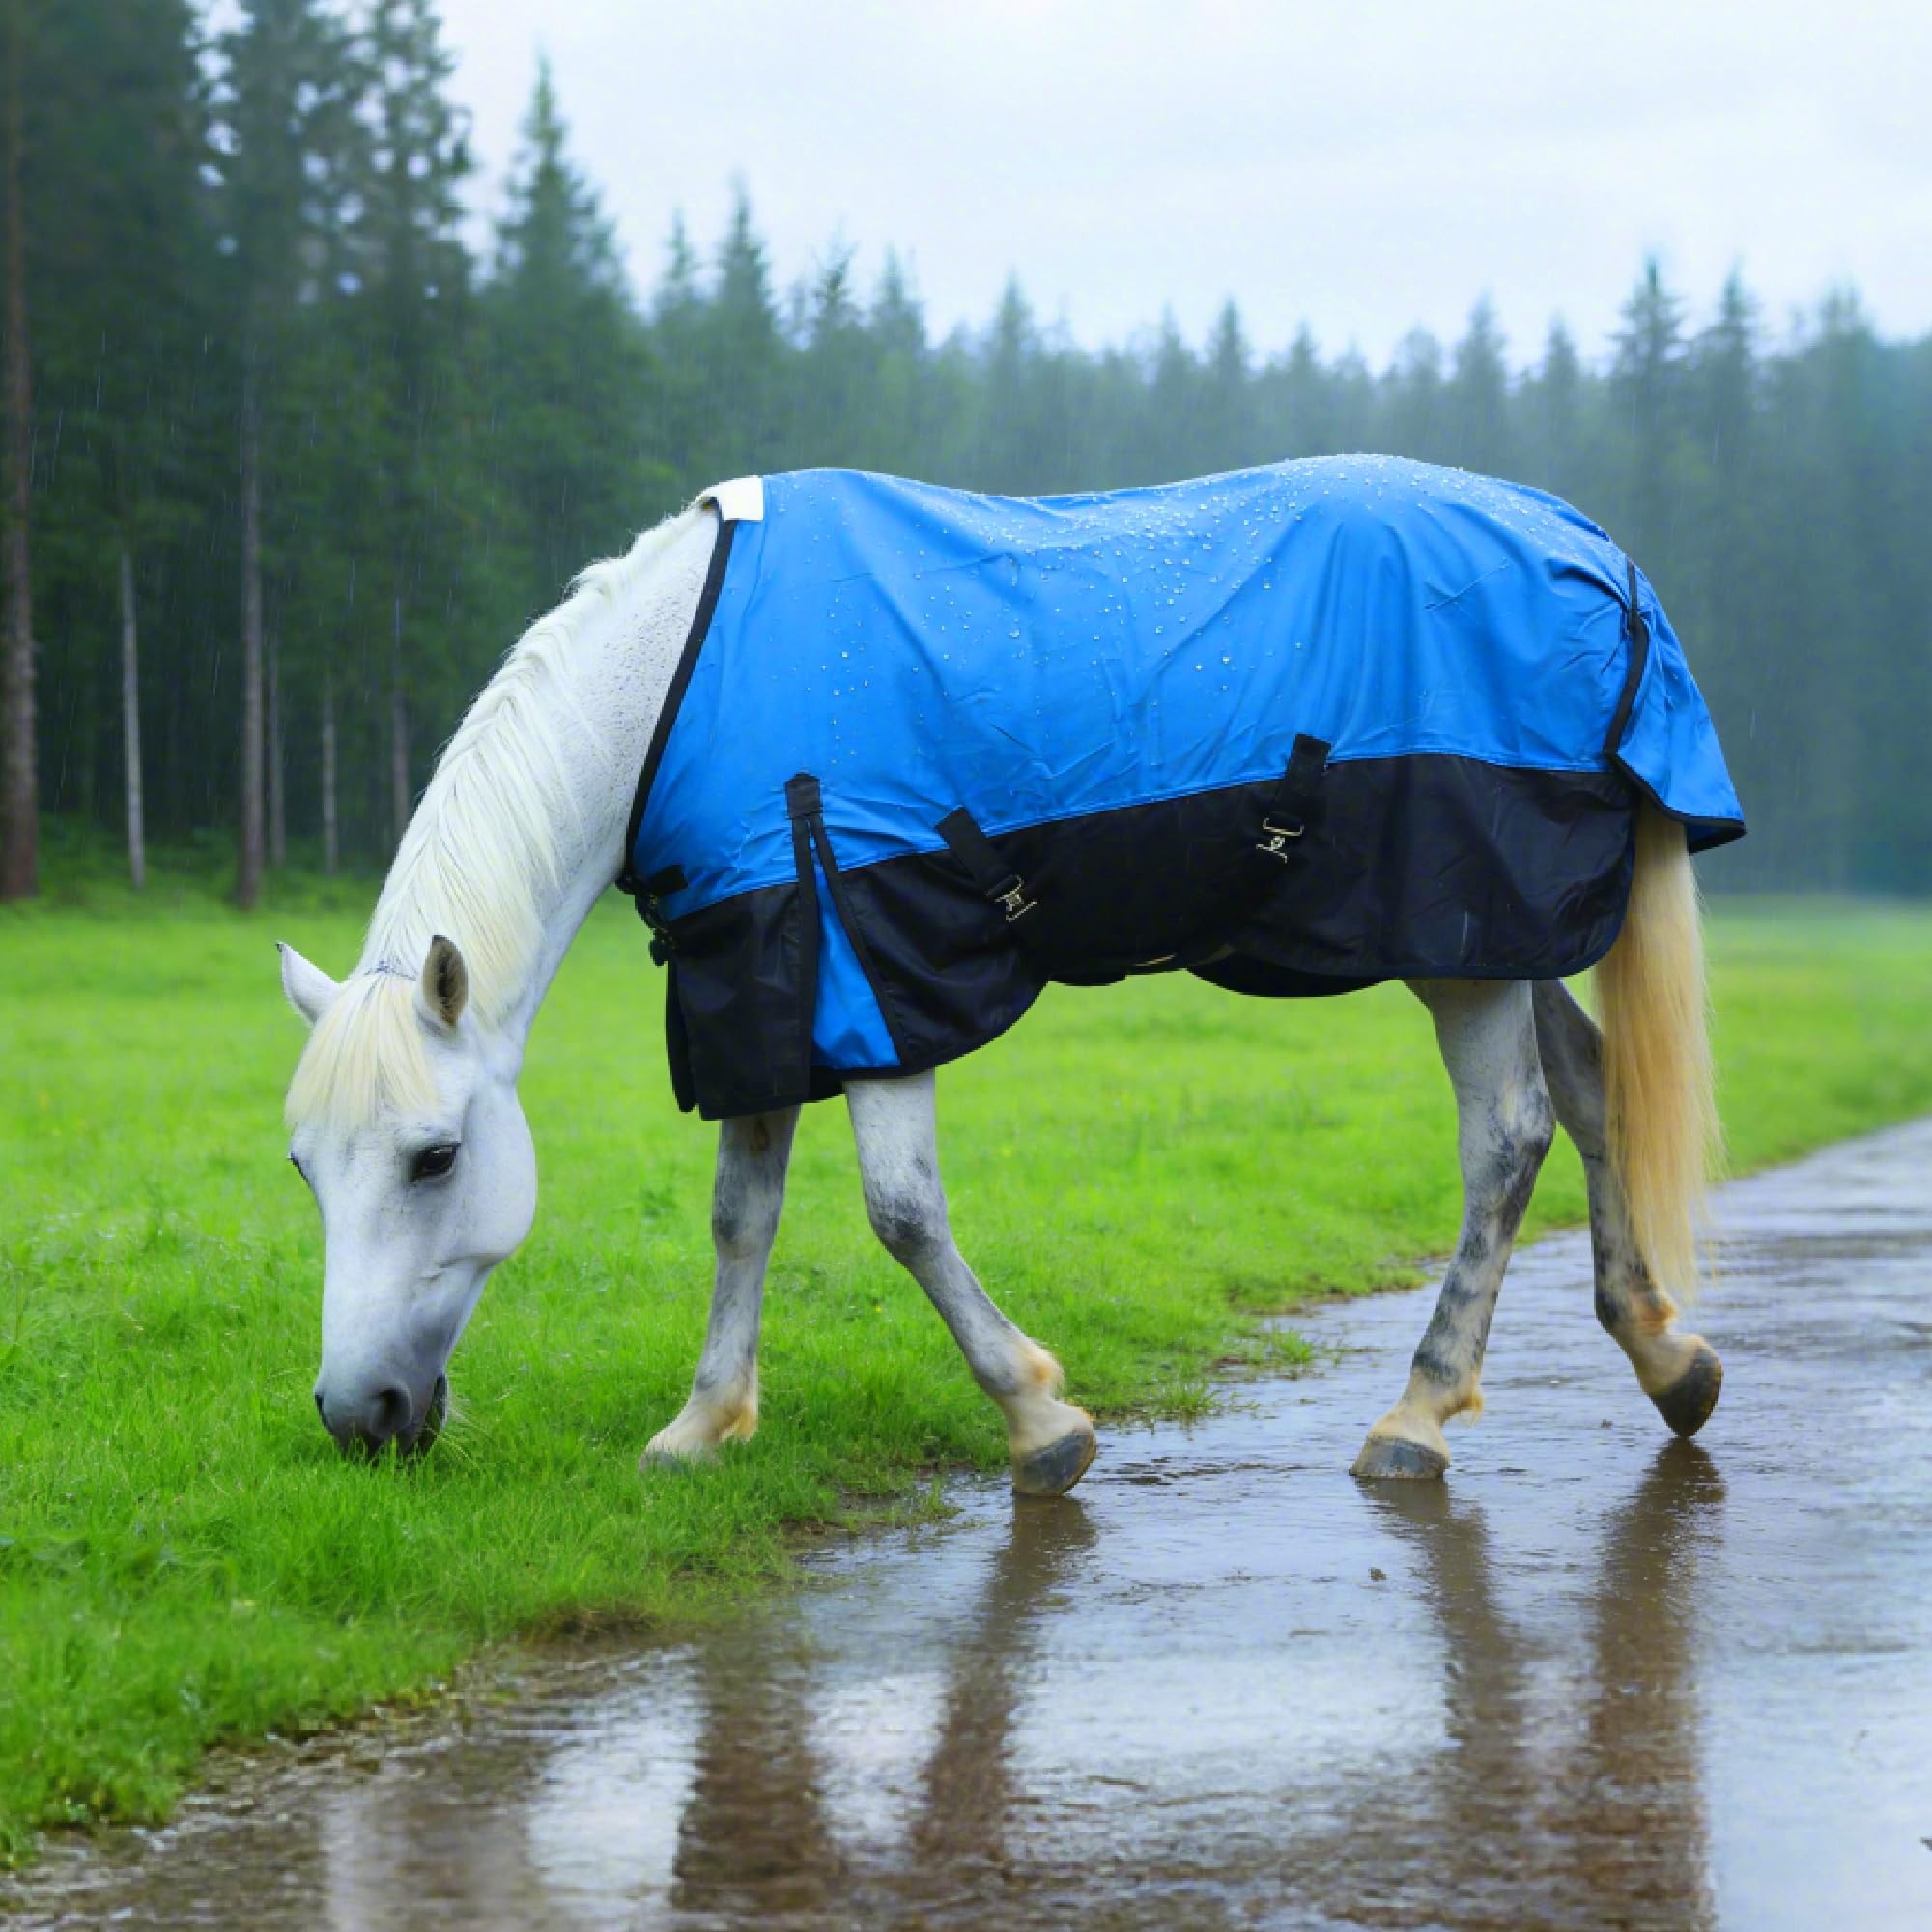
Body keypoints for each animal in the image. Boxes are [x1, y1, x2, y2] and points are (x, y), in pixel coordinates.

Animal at [280, 457, 1738, 1492]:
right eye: (303, 1168)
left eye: (433, 1157)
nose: (359, 1416)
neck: (679, 685)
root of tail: (1592, 557)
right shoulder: (760, 969)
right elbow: (741, 1214)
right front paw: (703, 1426)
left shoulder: (867, 966)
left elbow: (900, 1211)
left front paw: (1040, 1418)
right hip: (1497, 937)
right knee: (1594, 1093)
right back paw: (1665, 1356)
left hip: (1457, 942)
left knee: (1507, 1139)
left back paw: (1418, 1417)